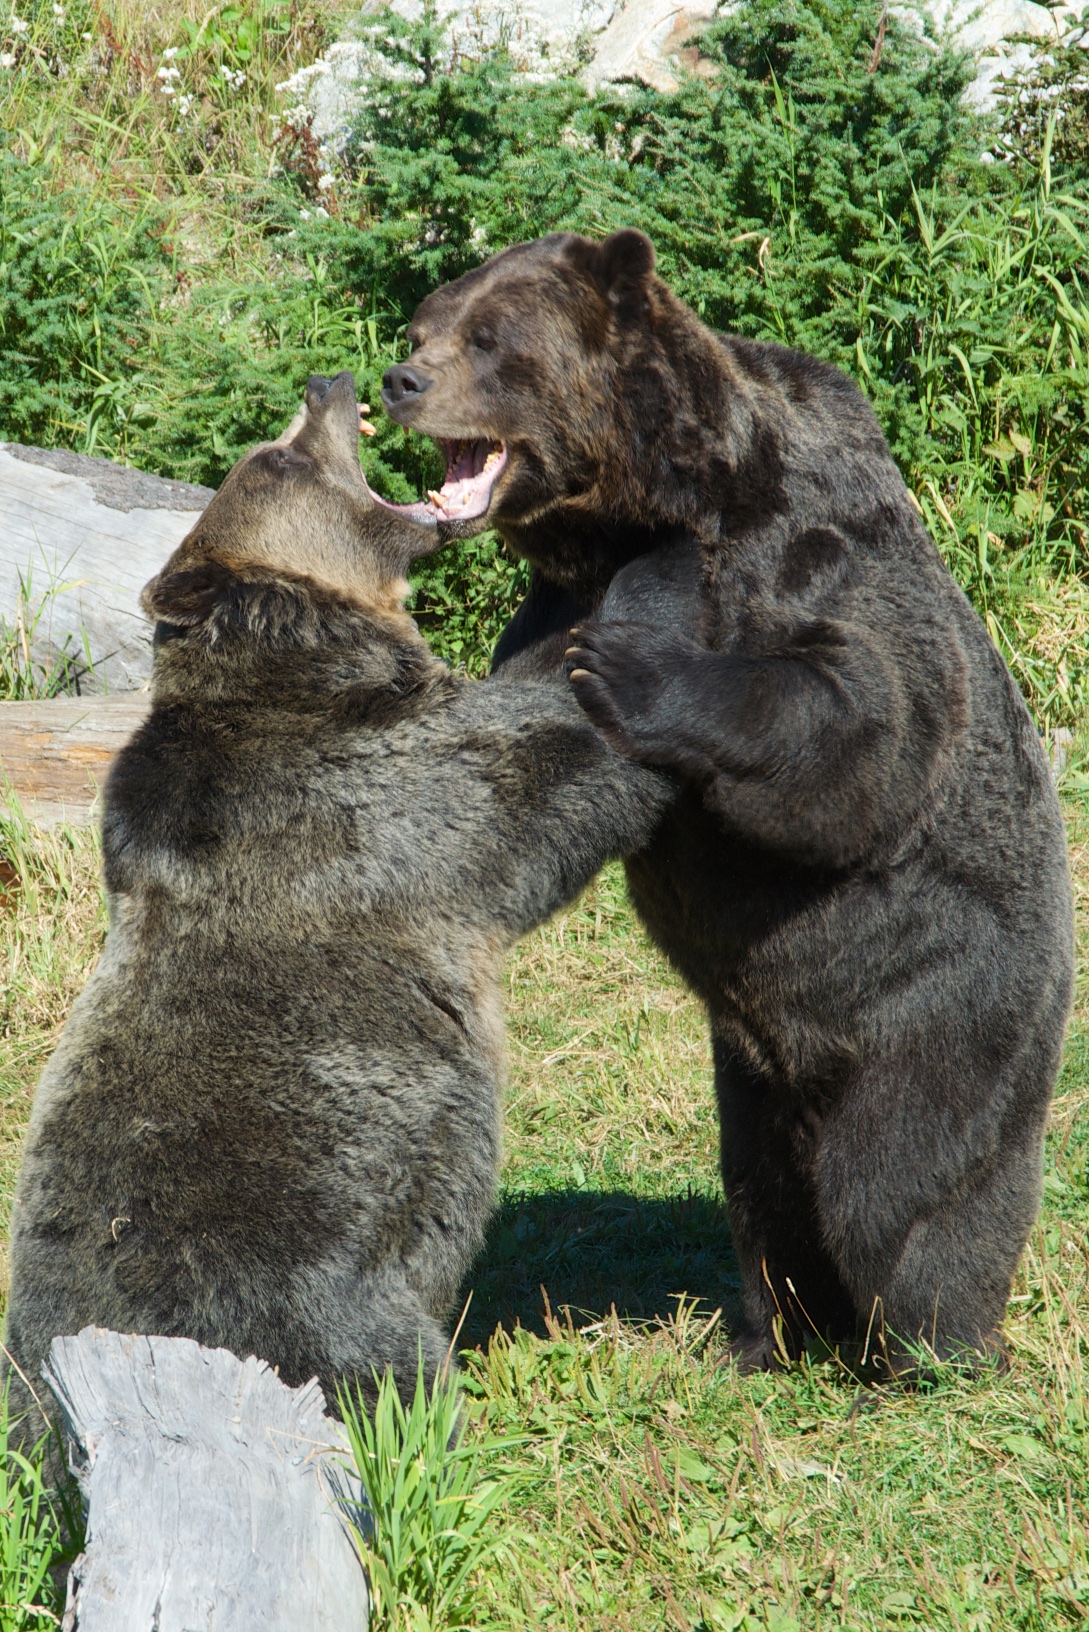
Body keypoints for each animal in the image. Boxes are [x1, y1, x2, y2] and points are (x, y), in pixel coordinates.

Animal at [2, 367, 672, 1416]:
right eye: (277, 456)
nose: (327, 381)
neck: (315, 657)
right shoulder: (365, 795)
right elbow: (532, 761)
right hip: (309, 1295)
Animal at [378, 233, 1077, 1377]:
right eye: (426, 324)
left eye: (489, 339)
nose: (401, 379)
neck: (643, 509)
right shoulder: (553, 602)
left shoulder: (806, 551)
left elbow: (863, 729)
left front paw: (633, 670)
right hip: (752, 1077)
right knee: (765, 1197)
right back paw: (768, 1338)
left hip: (944, 1004)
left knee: (904, 1189)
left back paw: (931, 1349)